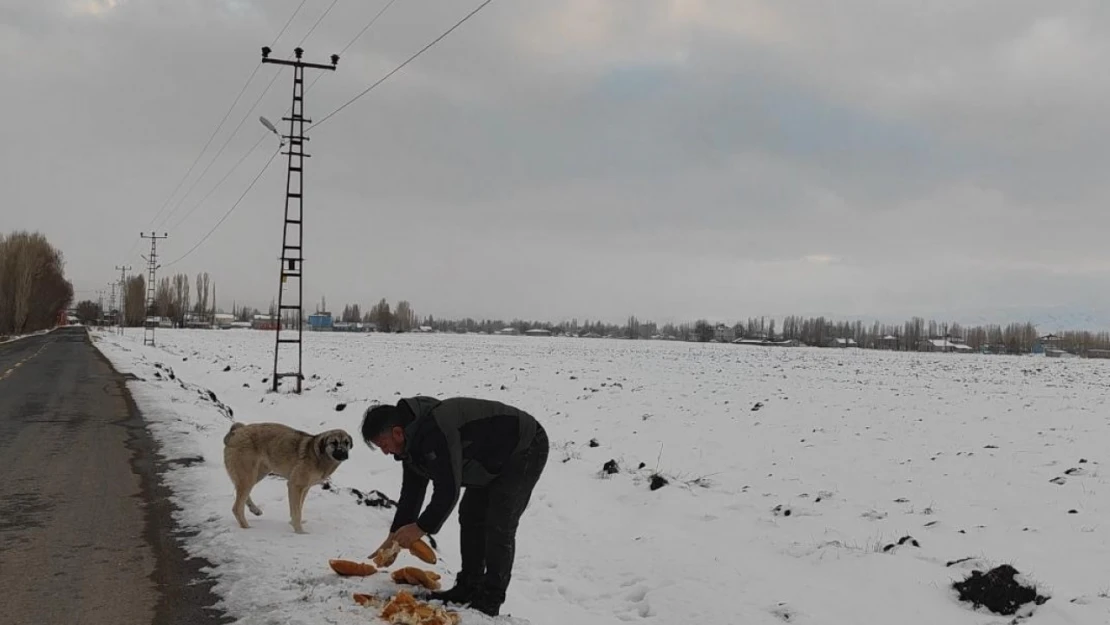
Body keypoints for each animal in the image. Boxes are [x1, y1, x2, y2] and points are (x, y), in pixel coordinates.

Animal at [222, 419, 350, 532]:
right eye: (333, 443)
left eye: (346, 443)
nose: (344, 453)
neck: (318, 455)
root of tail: (236, 431)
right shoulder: (295, 485)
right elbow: (296, 512)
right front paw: (300, 532)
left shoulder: (304, 488)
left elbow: (298, 508)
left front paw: (294, 524)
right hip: (248, 476)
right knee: (236, 508)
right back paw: (247, 528)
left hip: (257, 474)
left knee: (240, 494)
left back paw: (255, 510)